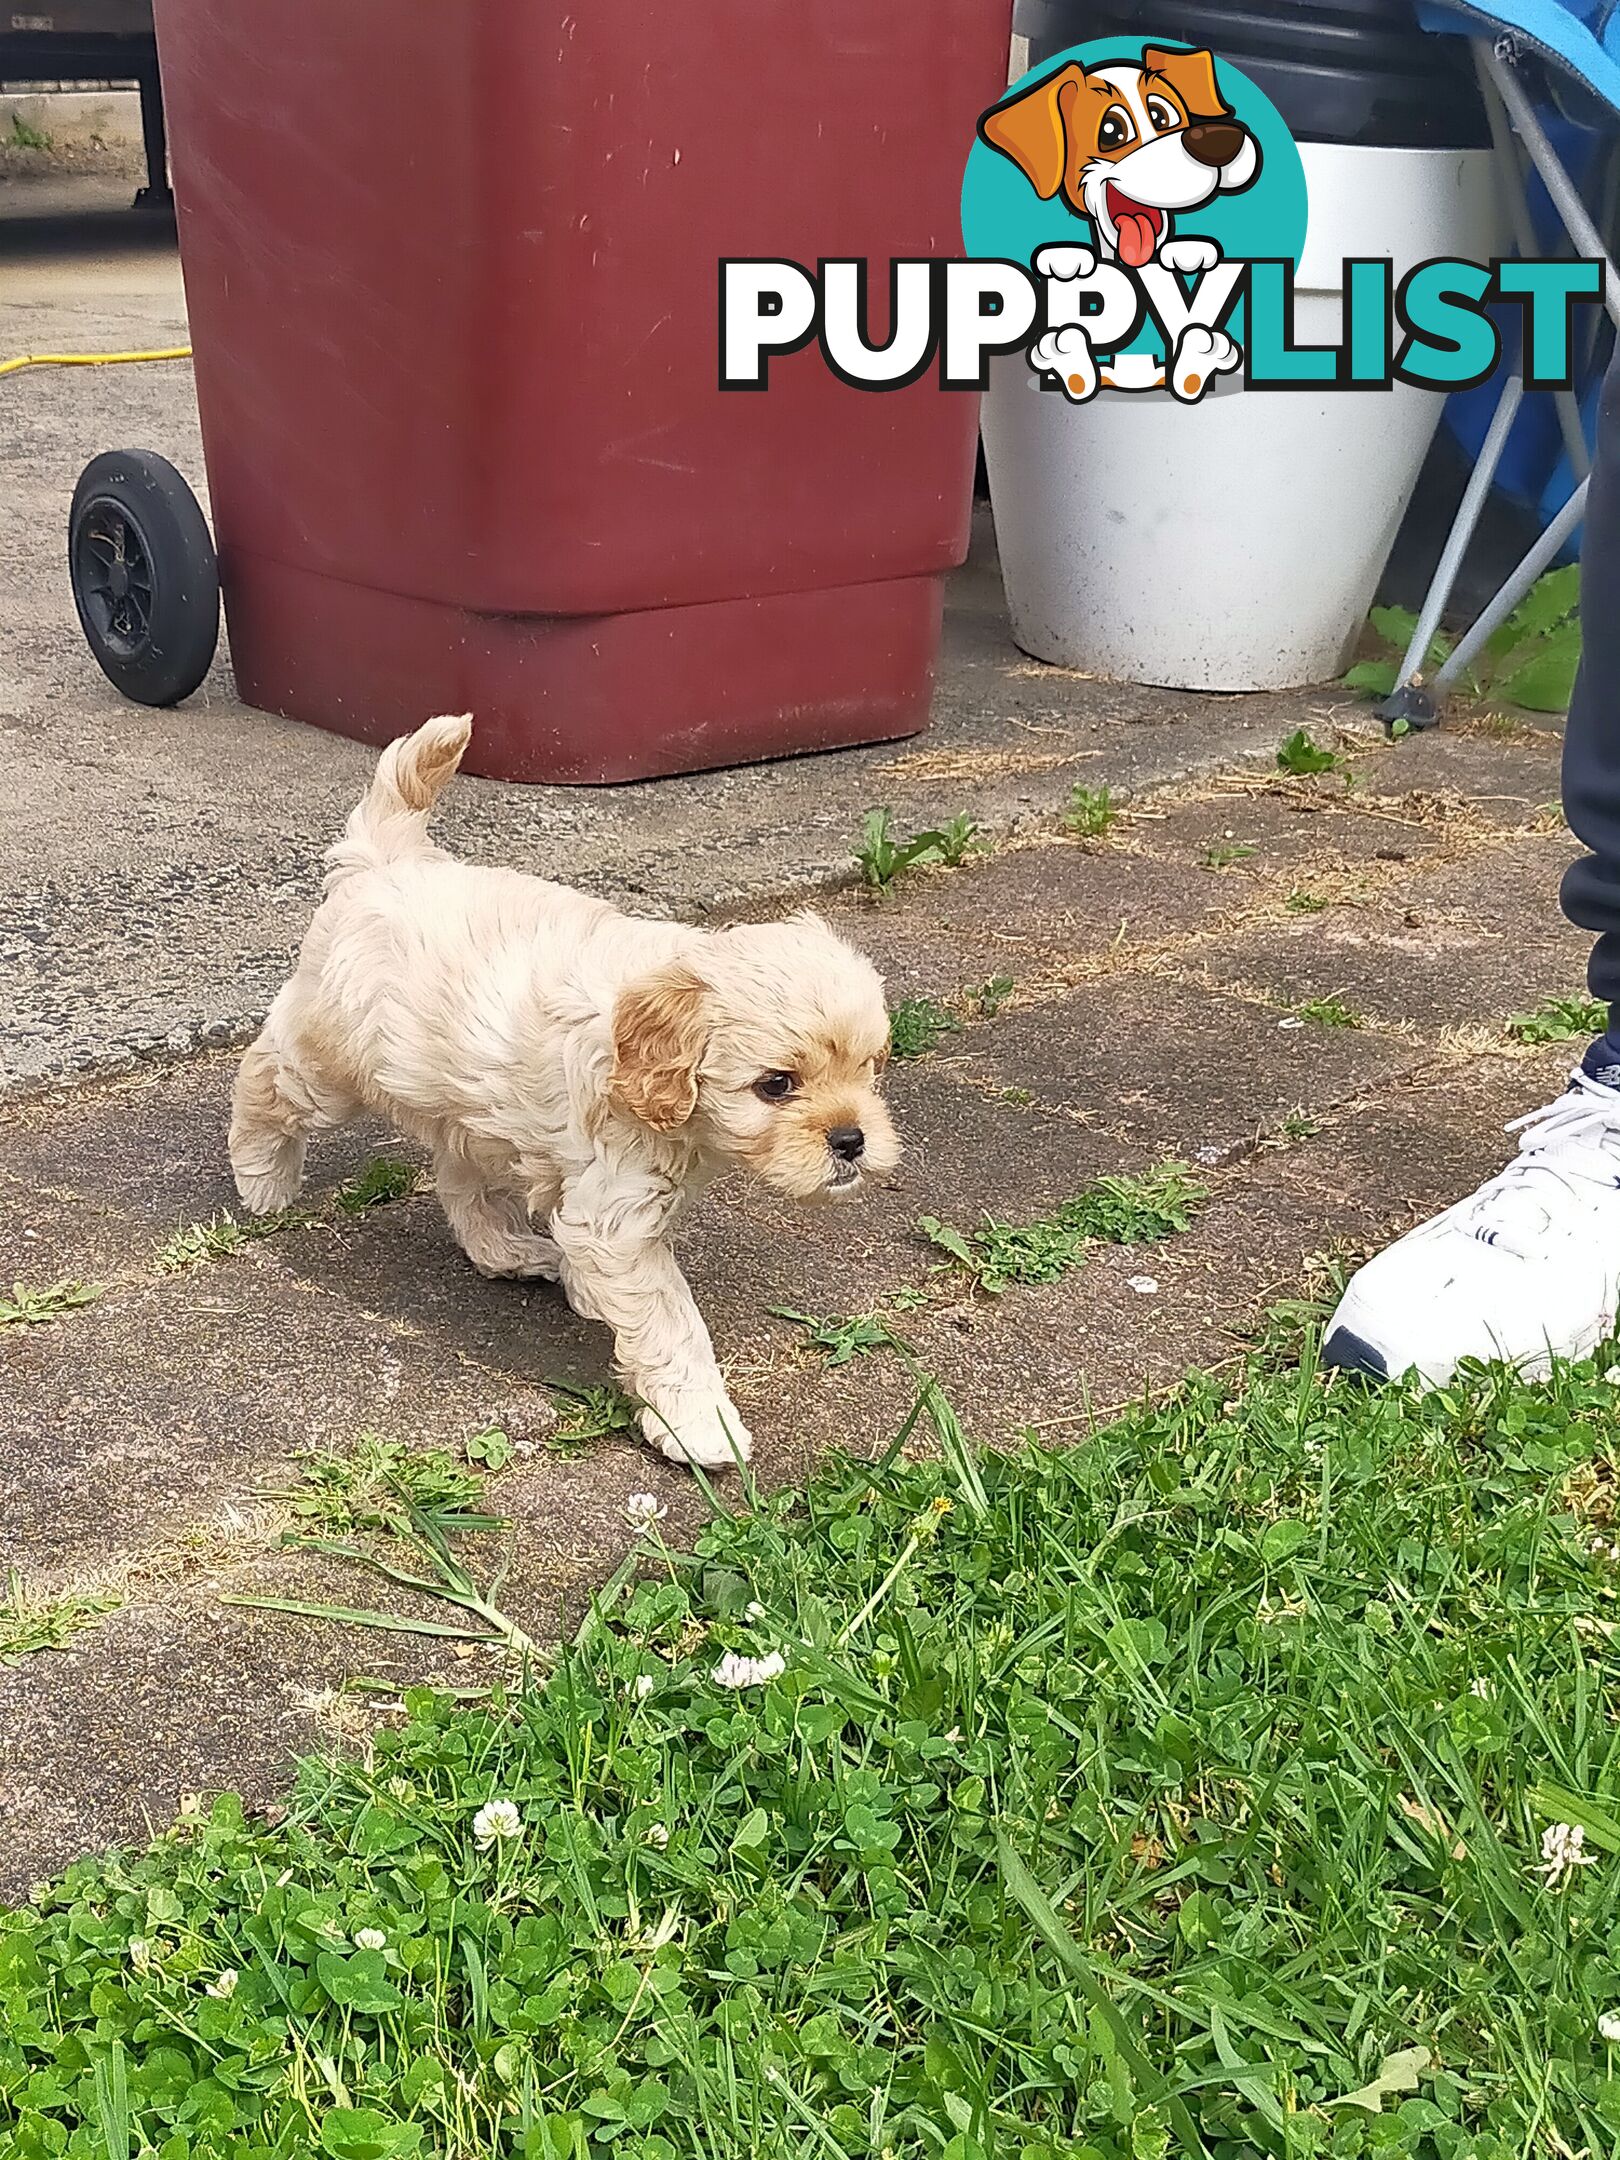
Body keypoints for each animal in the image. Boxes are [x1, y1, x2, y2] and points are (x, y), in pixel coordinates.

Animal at [228, 717, 902, 1477]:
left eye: (870, 1068)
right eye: (777, 1085)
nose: (852, 1140)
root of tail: (385, 862)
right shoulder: (619, 1214)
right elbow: (671, 1321)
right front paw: (699, 1423)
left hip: (471, 1110)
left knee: (461, 1184)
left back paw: (511, 1252)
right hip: (332, 1061)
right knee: (264, 1074)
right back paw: (261, 1178)